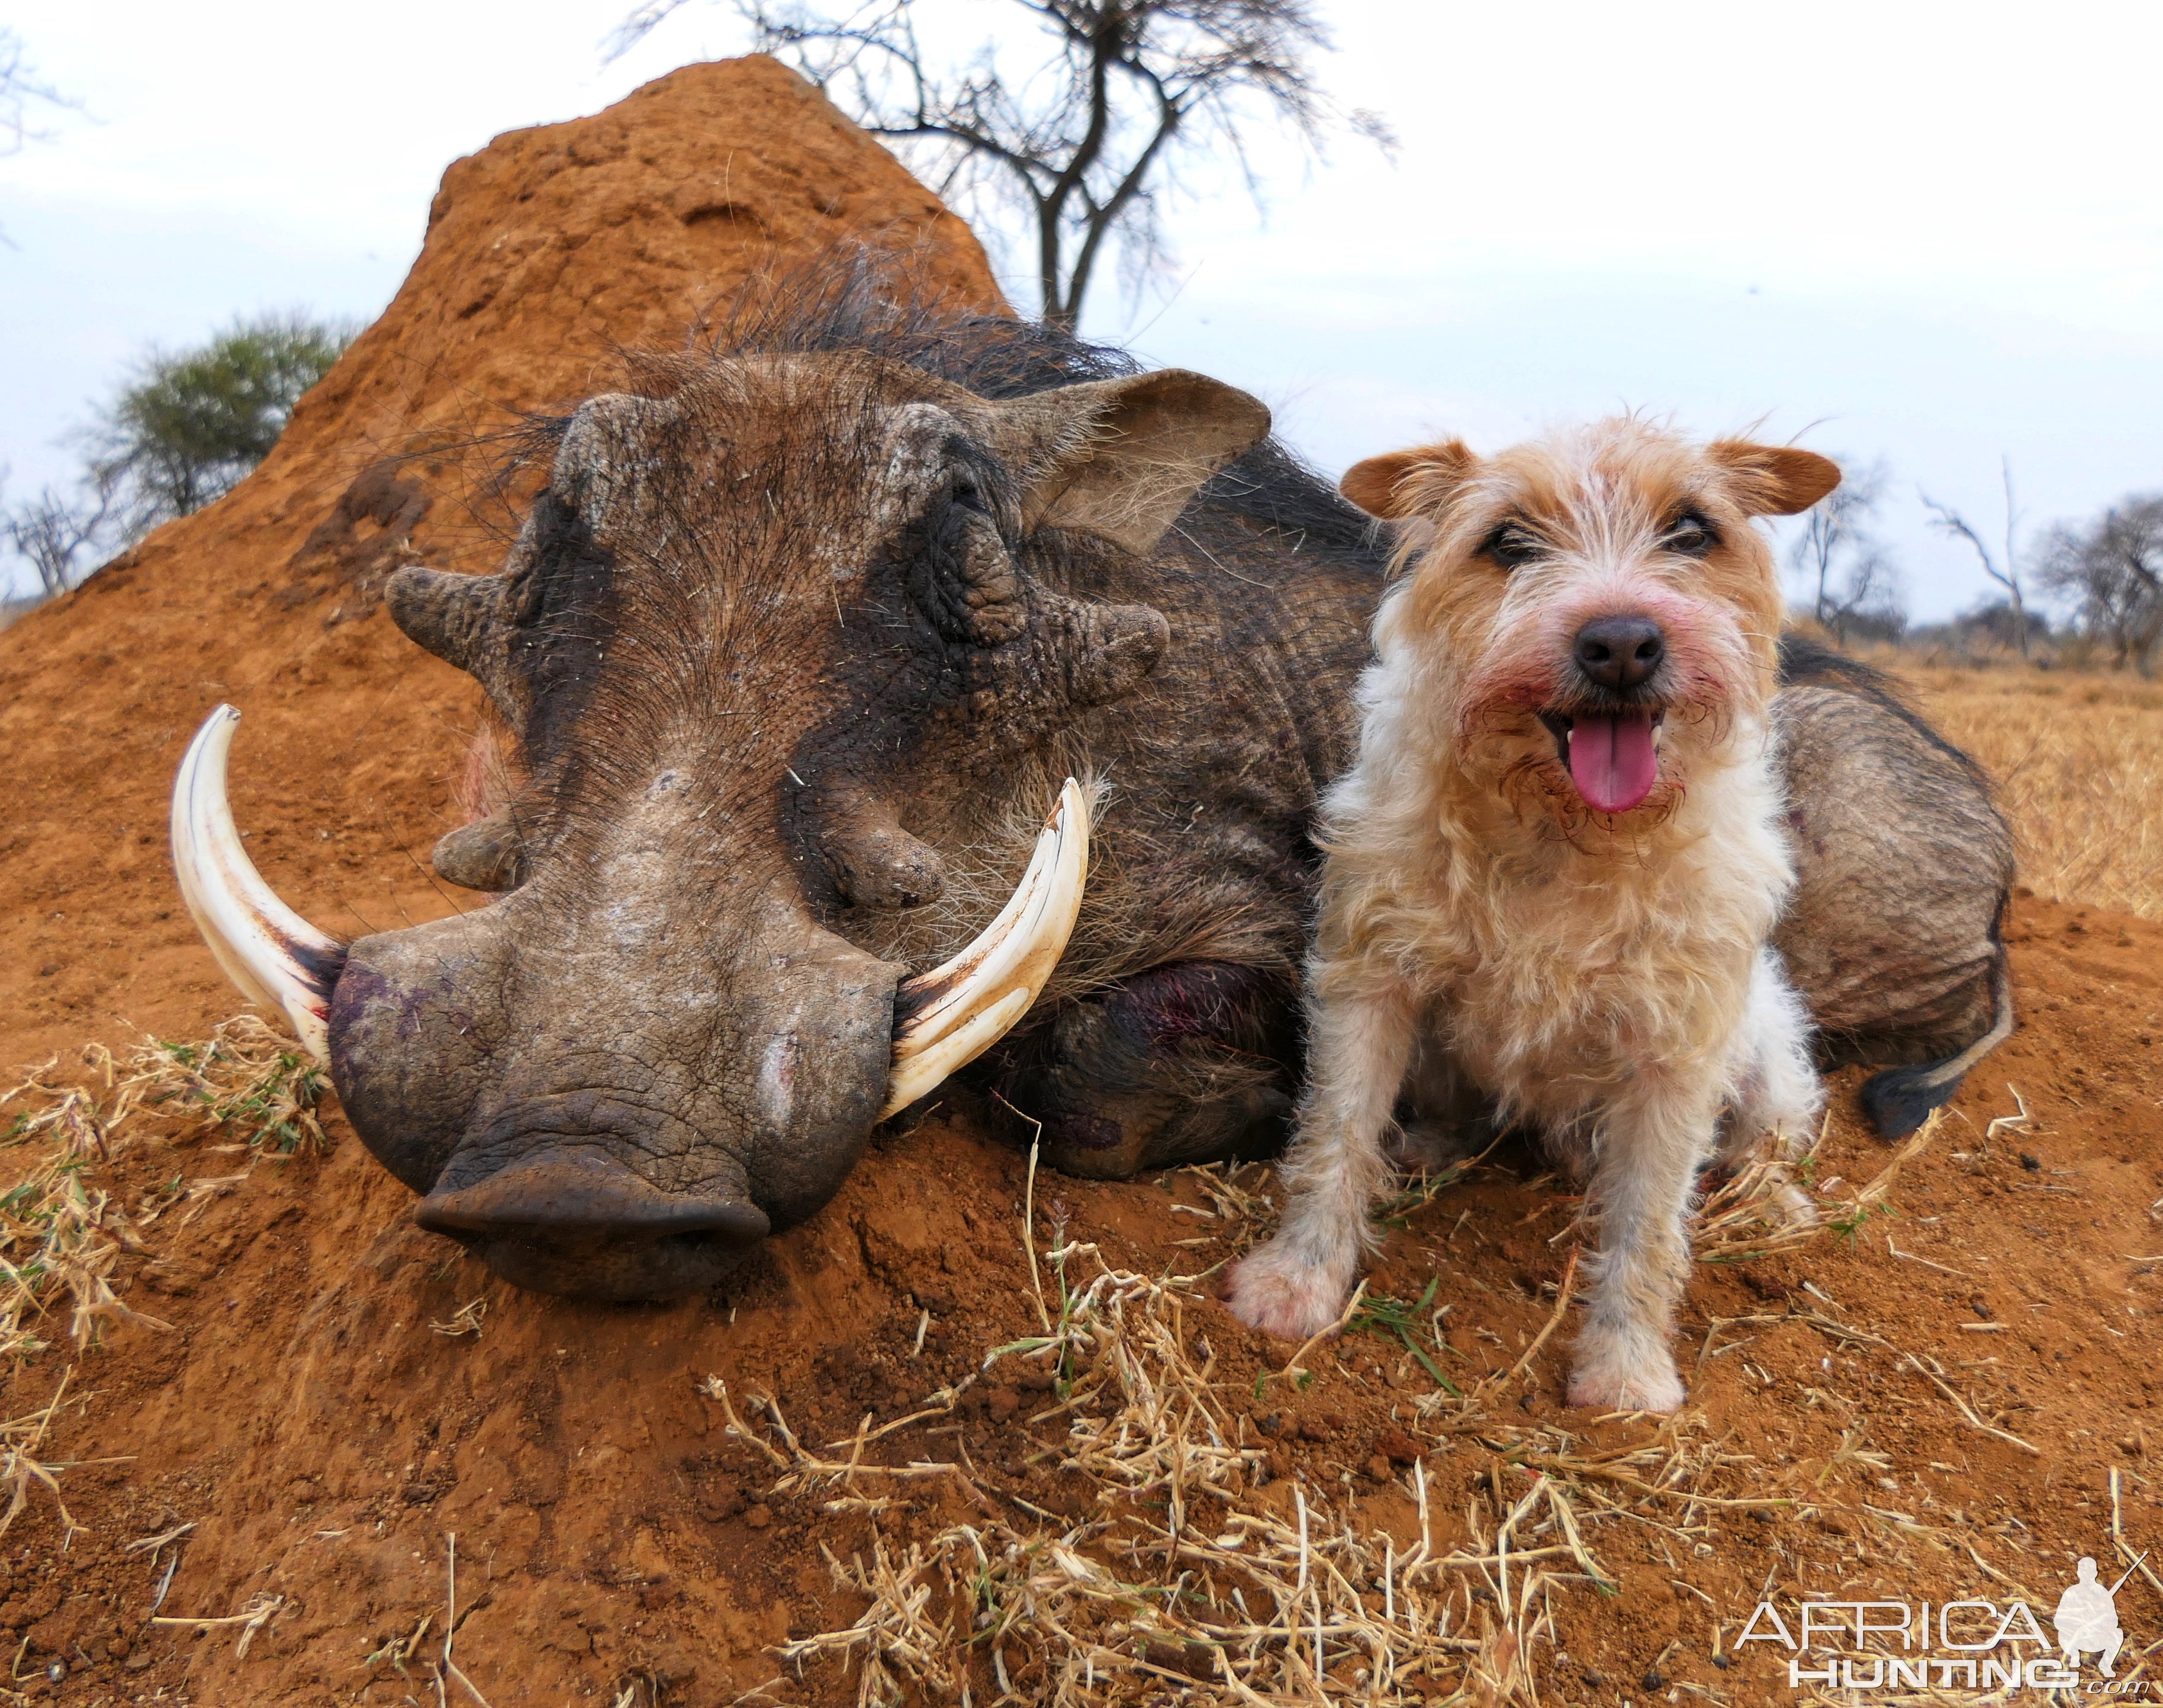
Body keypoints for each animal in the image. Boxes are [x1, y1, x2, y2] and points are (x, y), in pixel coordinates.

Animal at [1237, 421, 1843, 1409]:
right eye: (1509, 542)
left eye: (1692, 529)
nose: (1623, 642)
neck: (1569, 831)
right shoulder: (1369, 981)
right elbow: (1334, 1132)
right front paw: (1296, 1280)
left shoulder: (1679, 1052)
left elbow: (1648, 1221)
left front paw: (1626, 1368)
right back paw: (1427, 1144)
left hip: (1762, 1054)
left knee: (1765, 1138)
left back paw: (1774, 1203)